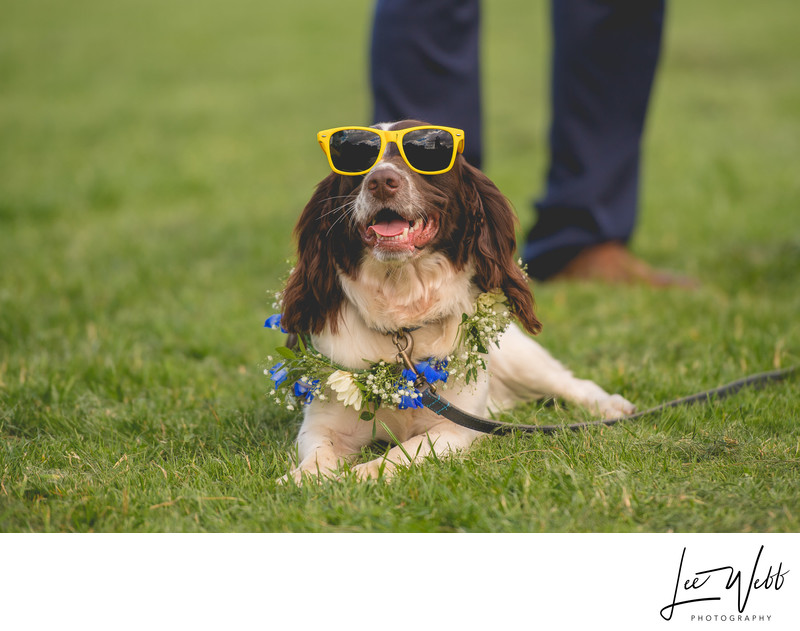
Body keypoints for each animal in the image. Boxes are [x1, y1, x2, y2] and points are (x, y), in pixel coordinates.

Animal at [272, 121, 636, 482]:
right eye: (355, 157)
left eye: (426, 154)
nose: (381, 182)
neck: (403, 310)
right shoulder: (324, 423)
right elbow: (318, 457)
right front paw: (301, 480)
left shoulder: (450, 431)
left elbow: (396, 455)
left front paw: (360, 476)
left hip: (522, 362)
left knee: (569, 382)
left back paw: (611, 406)